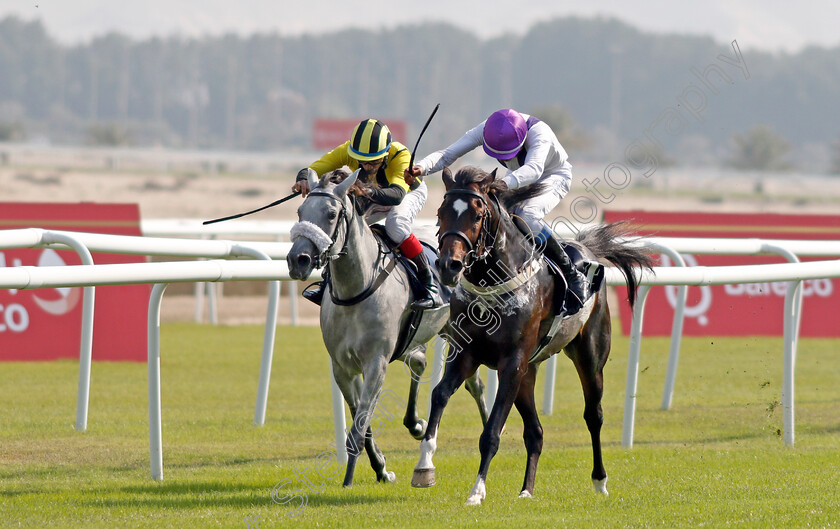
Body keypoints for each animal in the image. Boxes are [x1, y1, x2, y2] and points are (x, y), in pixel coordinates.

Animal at [286, 168, 488, 486]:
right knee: (419, 362)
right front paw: (380, 466)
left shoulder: (376, 363)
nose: (298, 260)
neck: (357, 290)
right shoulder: (342, 368)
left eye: (331, 214)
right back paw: (415, 423)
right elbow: (362, 421)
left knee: (475, 385)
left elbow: (360, 424)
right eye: (300, 211)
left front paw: (348, 480)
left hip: (459, 333)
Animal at [414, 165, 656, 504]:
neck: (493, 282)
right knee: (536, 431)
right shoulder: (466, 353)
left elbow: (491, 432)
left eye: (477, 215)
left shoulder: (512, 363)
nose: (449, 265)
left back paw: (599, 480)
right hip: (529, 372)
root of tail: (587, 249)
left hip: (589, 357)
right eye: (441, 212)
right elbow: (439, 395)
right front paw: (424, 465)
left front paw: (477, 491)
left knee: (593, 415)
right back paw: (526, 489)